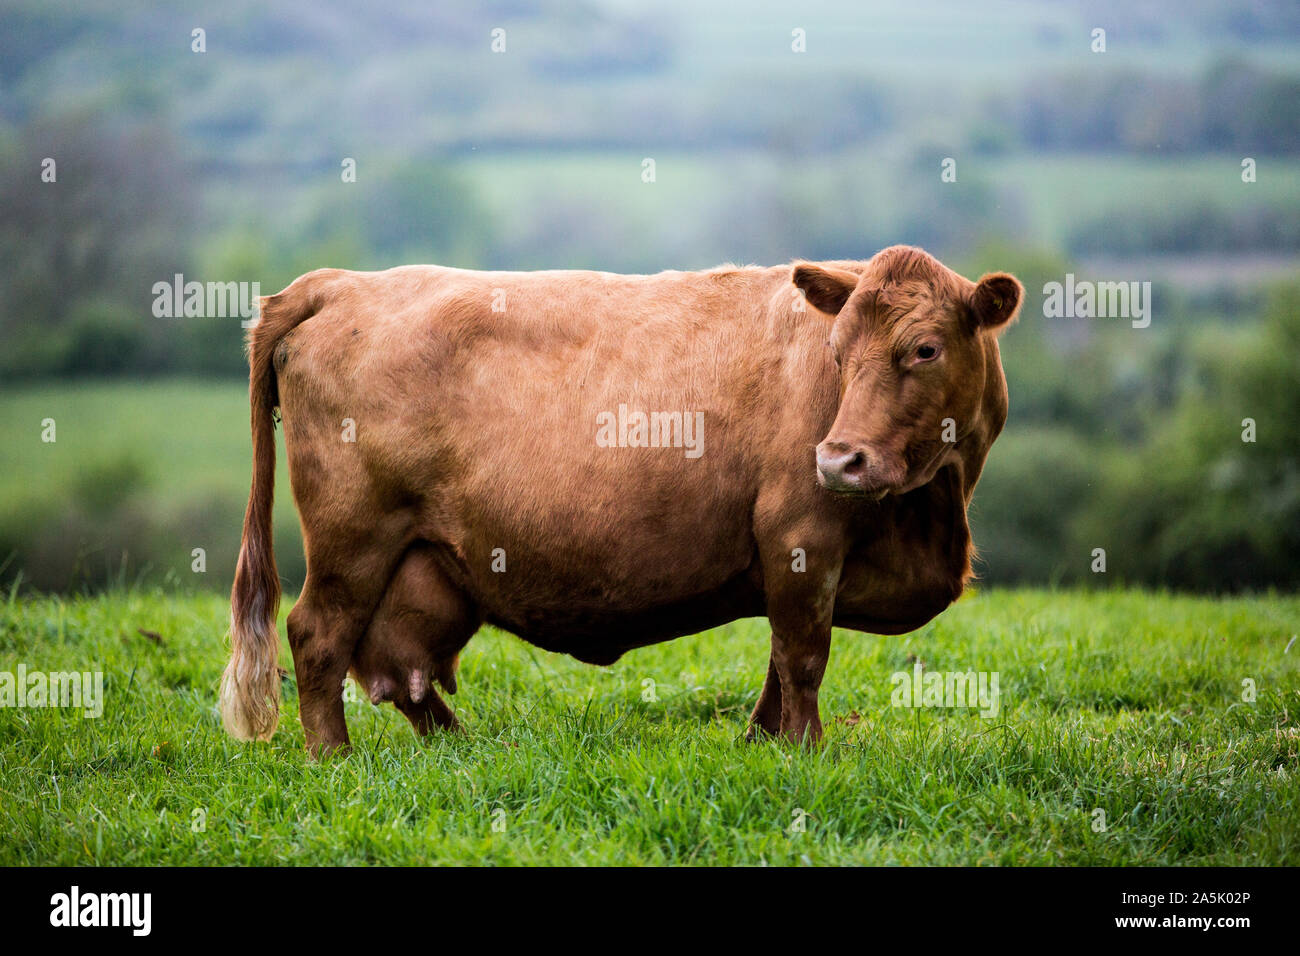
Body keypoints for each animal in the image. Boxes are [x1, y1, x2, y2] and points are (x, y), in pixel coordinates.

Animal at [219, 245, 1021, 756]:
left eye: (924, 349)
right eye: (837, 353)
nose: (838, 459)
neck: (936, 505)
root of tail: (340, 282)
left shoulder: (793, 562)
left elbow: (778, 656)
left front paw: (763, 742)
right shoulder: (800, 536)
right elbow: (801, 656)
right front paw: (806, 751)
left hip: (421, 562)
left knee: (394, 666)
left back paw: (459, 746)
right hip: (353, 538)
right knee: (318, 636)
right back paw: (333, 757)